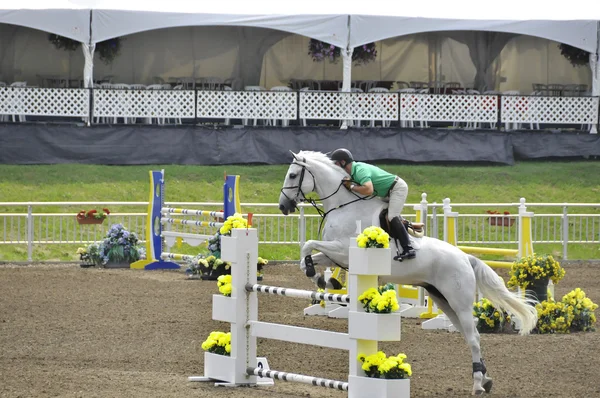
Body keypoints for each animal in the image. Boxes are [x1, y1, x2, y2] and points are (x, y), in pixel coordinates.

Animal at [278, 149, 536, 394]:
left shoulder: (343, 250)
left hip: (458, 301)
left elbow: (308, 244)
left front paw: (321, 278)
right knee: (470, 335)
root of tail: (465, 257)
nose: (283, 206)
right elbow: (308, 256)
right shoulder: (336, 254)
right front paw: (324, 280)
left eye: (292, 175)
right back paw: (485, 378)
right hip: (442, 299)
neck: (343, 206)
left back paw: (478, 384)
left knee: (473, 336)